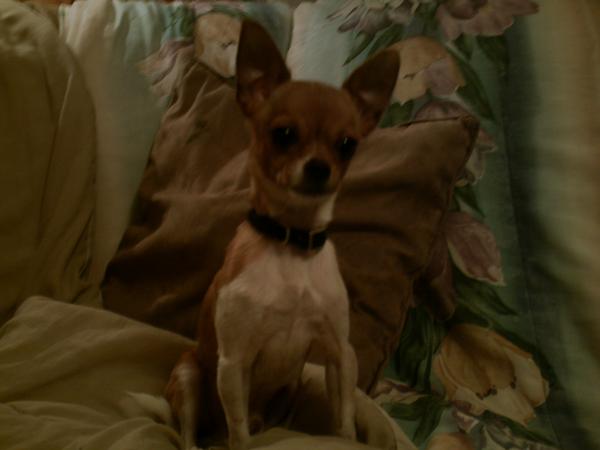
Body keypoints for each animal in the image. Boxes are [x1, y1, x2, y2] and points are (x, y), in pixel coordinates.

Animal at [164, 20, 399, 450]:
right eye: (284, 134)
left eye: (347, 144)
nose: (320, 167)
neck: (293, 243)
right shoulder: (233, 362)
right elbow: (239, 431)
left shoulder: (340, 354)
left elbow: (344, 420)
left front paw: (345, 436)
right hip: (190, 376)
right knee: (192, 434)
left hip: (288, 391)